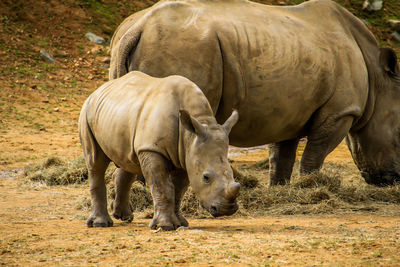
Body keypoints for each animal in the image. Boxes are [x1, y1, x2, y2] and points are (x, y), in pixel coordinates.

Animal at [79, 71, 239, 230]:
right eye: (206, 177)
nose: (227, 210)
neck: (191, 133)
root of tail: (98, 91)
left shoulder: (186, 155)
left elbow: (178, 190)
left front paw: (181, 223)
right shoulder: (152, 149)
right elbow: (162, 187)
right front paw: (165, 226)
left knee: (128, 160)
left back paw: (124, 217)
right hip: (87, 112)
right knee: (96, 163)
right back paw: (100, 224)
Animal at [109, 0, 400, 186]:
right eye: (398, 136)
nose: (391, 180)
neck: (378, 78)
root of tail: (139, 26)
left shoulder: (289, 111)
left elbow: (281, 155)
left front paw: (279, 189)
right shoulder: (340, 112)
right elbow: (315, 155)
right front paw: (312, 186)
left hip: (131, 43)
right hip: (181, 46)